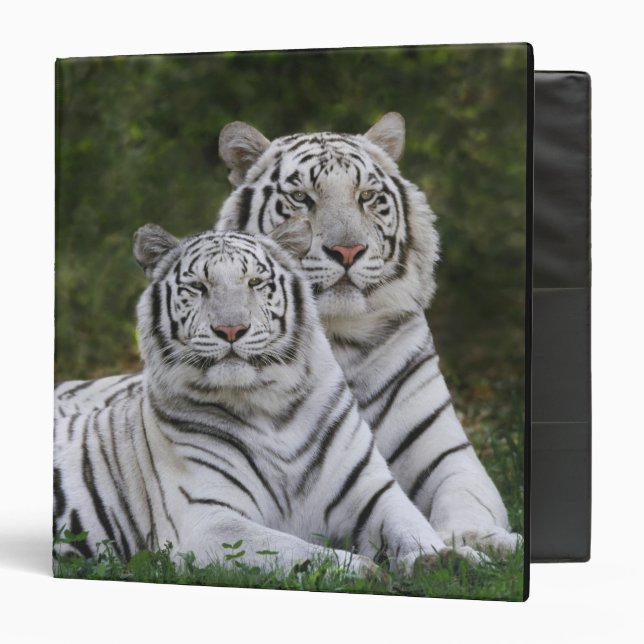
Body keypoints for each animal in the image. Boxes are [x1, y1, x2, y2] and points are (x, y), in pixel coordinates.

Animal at [54, 222, 483, 573]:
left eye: (255, 283)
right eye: (199, 288)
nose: (231, 329)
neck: (272, 408)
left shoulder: (371, 491)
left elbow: (411, 525)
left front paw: (445, 558)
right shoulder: (207, 521)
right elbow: (288, 549)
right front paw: (361, 569)